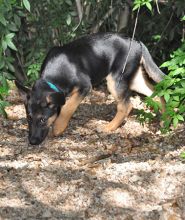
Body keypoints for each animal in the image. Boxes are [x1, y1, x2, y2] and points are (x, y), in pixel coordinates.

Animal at [15, 32, 165, 144]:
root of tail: (136, 42)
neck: (53, 78)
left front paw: (58, 127)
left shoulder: (85, 87)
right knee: (156, 93)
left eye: (42, 120)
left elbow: (67, 107)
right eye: (29, 118)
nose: (32, 142)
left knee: (126, 106)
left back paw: (109, 127)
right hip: (134, 79)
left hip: (115, 80)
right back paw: (165, 119)